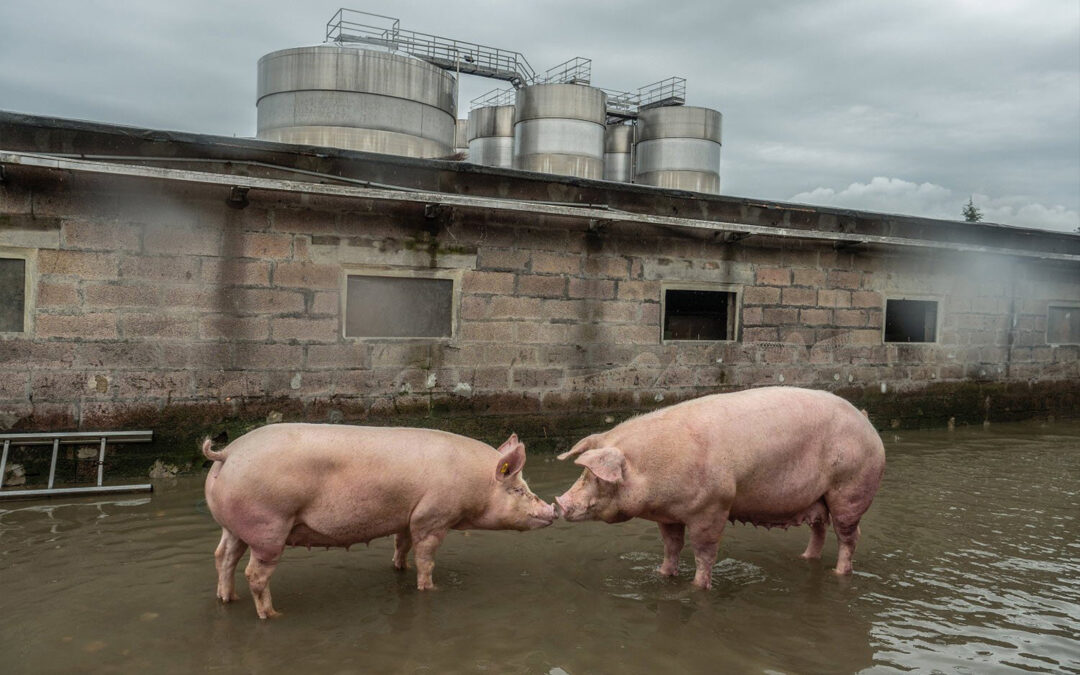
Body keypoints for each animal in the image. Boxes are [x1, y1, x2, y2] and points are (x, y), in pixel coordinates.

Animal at [202, 424, 556, 618]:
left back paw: (227, 598)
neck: (475, 484)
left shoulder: (408, 517)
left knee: (223, 557)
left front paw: (400, 568)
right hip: (268, 526)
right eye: (518, 489)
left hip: (233, 526)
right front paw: (430, 587)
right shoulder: (433, 517)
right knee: (254, 573)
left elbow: (402, 545)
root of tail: (227, 453)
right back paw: (272, 614)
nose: (553, 511)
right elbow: (426, 558)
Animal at [554, 387, 885, 588]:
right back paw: (806, 559)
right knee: (819, 528)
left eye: (596, 477)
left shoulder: (713, 507)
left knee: (849, 536)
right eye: (583, 473)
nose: (559, 502)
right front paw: (663, 574)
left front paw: (698, 586)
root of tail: (866, 421)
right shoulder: (669, 516)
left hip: (851, 489)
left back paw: (838, 572)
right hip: (819, 498)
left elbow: (704, 553)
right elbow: (672, 547)